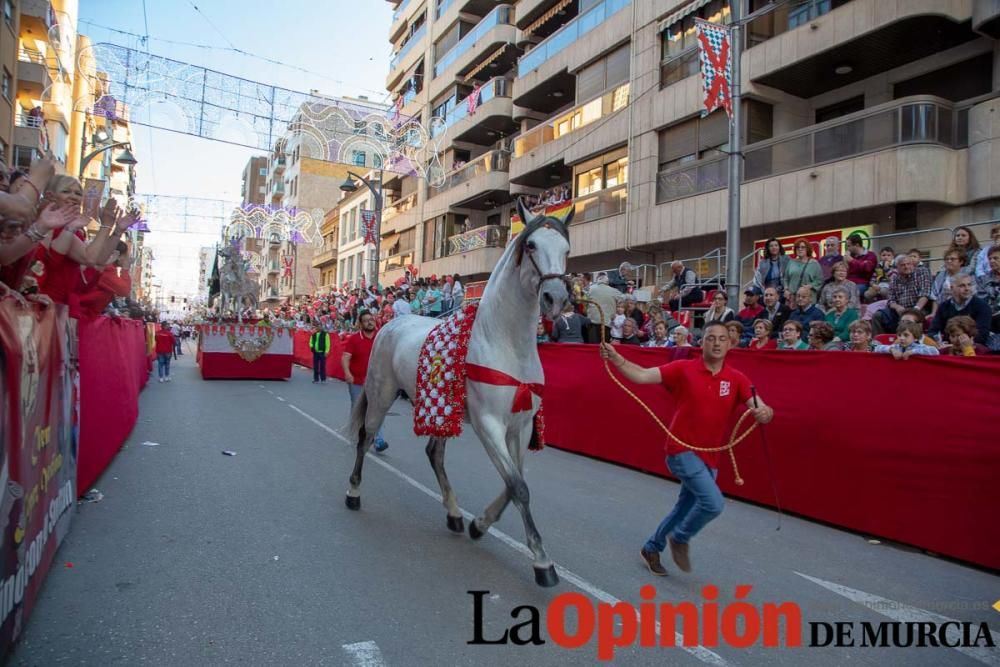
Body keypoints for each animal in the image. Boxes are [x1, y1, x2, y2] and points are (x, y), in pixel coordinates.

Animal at [348, 201, 576, 588]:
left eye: (567, 250)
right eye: (531, 246)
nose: (555, 298)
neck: (505, 343)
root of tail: (390, 323)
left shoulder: (521, 426)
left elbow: (515, 483)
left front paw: (479, 524)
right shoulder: (488, 425)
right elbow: (518, 487)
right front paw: (542, 563)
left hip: (442, 411)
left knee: (434, 454)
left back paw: (455, 514)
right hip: (381, 394)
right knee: (365, 438)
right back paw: (353, 493)